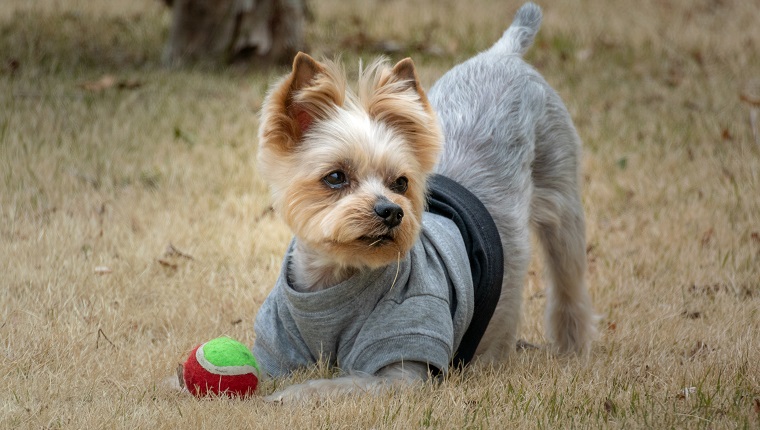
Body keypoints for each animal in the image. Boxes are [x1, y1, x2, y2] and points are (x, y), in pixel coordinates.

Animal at [252, 1, 596, 404]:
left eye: (401, 182)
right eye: (335, 177)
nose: (391, 211)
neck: (334, 280)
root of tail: (505, 52)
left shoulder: (402, 369)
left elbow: (338, 383)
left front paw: (290, 395)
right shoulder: (274, 349)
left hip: (562, 198)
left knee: (569, 283)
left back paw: (573, 349)